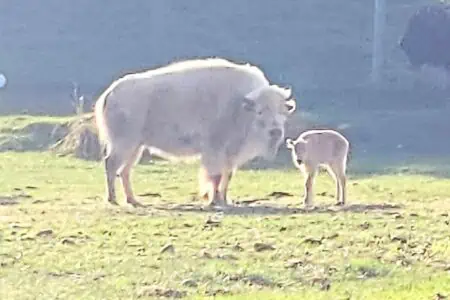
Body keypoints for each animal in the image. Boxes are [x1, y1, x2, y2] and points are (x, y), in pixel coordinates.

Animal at [94, 58, 298, 209]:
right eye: (260, 112)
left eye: (283, 112)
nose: (275, 131)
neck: (240, 106)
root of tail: (110, 93)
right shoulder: (215, 149)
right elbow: (215, 175)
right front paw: (214, 200)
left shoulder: (230, 153)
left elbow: (227, 175)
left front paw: (225, 200)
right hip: (124, 143)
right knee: (111, 165)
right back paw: (113, 199)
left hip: (136, 146)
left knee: (124, 170)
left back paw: (133, 200)